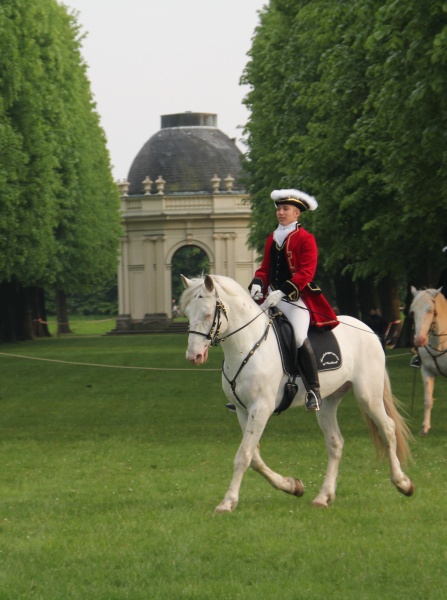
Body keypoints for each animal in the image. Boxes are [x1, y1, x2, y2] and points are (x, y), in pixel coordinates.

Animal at [180, 274, 414, 512]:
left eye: (208, 313)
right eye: (187, 314)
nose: (193, 356)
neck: (247, 346)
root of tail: (369, 331)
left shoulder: (261, 408)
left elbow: (244, 455)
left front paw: (227, 502)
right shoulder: (242, 410)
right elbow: (254, 457)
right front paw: (292, 486)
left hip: (368, 396)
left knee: (388, 429)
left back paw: (402, 483)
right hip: (328, 402)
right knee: (335, 442)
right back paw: (323, 496)